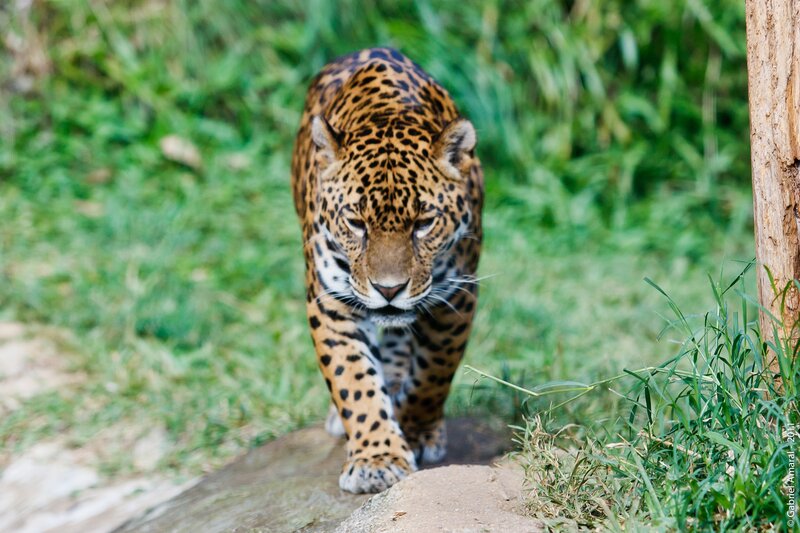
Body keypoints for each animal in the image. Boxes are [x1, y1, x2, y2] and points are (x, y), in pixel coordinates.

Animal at [290, 47, 483, 494]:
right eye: (356, 223)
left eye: (424, 223)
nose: (389, 290)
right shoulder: (330, 301)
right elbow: (353, 380)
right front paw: (377, 458)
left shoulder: (457, 297)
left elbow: (434, 372)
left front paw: (414, 431)